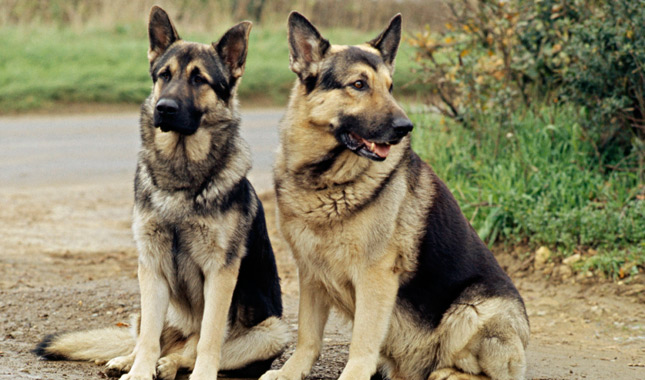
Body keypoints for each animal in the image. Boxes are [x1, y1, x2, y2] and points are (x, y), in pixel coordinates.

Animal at [34, 5, 286, 380]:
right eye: (163, 75)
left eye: (199, 79)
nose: (164, 107)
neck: (181, 179)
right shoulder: (151, 268)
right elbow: (149, 337)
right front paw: (139, 371)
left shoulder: (220, 274)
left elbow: (208, 339)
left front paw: (199, 374)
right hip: (151, 305)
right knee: (151, 339)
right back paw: (130, 360)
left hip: (273, 331)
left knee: (190, 348)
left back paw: (170, 364)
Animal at [260, 11, 528, 380]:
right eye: (359, 85)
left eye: (390, 87)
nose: (405, 127)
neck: (325, 180)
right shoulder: (311, 274)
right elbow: (307, 337)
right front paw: (290, 372)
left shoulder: (375, 277)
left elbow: (361, 343)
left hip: (472, 310)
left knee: (488, 371)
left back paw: (447, 373)